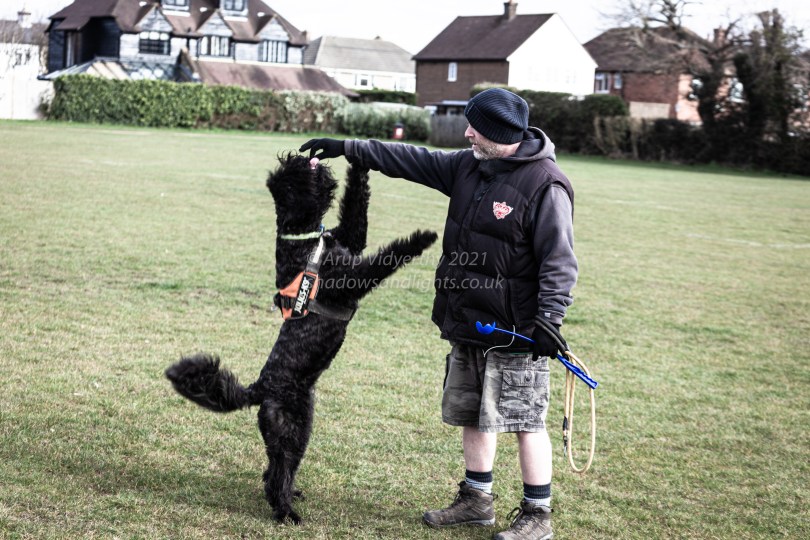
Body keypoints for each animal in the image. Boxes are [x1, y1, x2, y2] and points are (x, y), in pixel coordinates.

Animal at [165, 154, 437, 523]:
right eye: (294, 175)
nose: (306, 158)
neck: (303, 240)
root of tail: (258, 389)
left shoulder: (351, 240)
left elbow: (357, 206)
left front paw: (357, 157)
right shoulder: (349, 280)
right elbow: (383, 259)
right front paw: (422, 238)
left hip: (300, 425)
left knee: (275, 467)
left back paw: (289, 495)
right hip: (289, 429)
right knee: (278, 471)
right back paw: (285, 511)